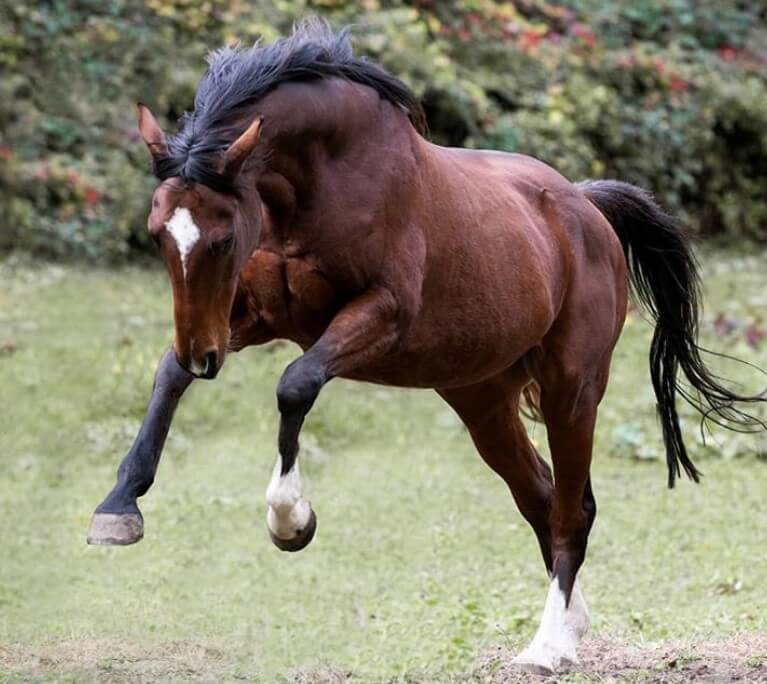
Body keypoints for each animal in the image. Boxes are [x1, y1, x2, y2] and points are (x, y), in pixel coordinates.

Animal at [85, 20, 767, 672]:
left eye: (223, 239)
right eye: (157, 233)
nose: (206, 356)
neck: (323, 181)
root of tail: (586, 207)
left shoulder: (380, 316)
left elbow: (295, 384)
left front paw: (291, 521)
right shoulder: (254, 316)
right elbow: (168, 375)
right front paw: (118, 508)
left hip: (572, 391)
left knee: (572, 511)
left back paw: (548, 648)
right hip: (482, 401)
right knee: (542, 498)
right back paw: (571, 627)